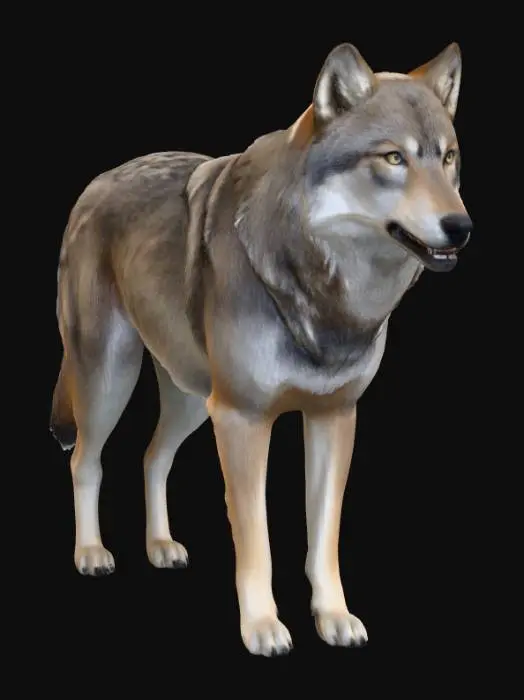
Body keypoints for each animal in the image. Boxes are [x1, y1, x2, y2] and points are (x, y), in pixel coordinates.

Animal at [50, 42, 472, 656]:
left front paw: (334, 617)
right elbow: (257, 543)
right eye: (394, 158)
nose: (460, 226)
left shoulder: (333, 416)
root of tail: (99, 180)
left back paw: (161, 546)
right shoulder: (244, 420)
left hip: (190, 401)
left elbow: (323, 538)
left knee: (153, 456)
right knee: (85, 459)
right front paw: (263, 627)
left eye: (448, 158)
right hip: (113, 380)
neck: (328, 298)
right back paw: (90, 553)